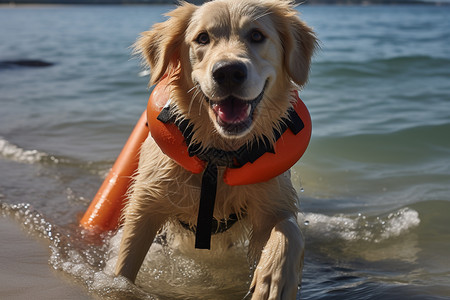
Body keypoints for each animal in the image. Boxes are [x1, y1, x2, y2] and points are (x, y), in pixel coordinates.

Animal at [116, 1, 316, 298]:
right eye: (202, 38)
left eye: (256, 35)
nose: (228, 72)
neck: (219, 154)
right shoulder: (146, 203)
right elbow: (124, 264)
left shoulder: (272, 199)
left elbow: (288, 229)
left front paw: (274, 278)